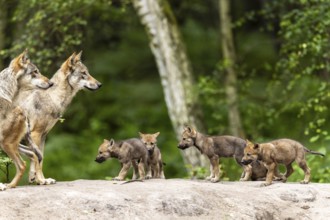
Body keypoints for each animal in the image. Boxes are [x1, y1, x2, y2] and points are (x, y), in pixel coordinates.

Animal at [0, 49, 52, 189]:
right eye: (35, 71)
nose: (51, 83)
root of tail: (23, 112)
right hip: (8, 144)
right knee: (32, 156)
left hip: (7, 144)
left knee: (25, 162)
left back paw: (10, 185)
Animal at [13, 51, 102, 184]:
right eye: (84, 73)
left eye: (88, 72)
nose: (100, 84)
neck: (52, 97)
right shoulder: (36, 134)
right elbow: (38, 159)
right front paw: (41, 180)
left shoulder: (43, 135)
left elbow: (41, 158)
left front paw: (38, 179)